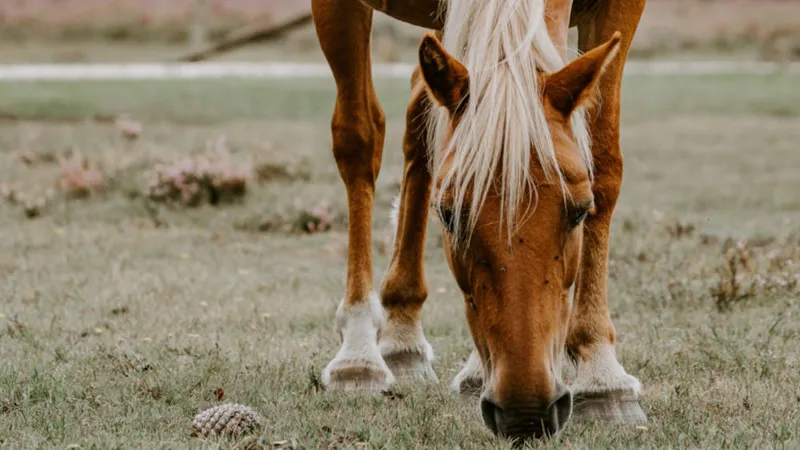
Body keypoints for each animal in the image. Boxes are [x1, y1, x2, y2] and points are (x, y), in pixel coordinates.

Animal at [310, 0, 647, 442]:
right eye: (448, 215)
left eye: (579, 211)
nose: (526, 412)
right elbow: (359, 138)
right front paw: (357, 353)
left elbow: (603, 156)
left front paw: (603, 375)